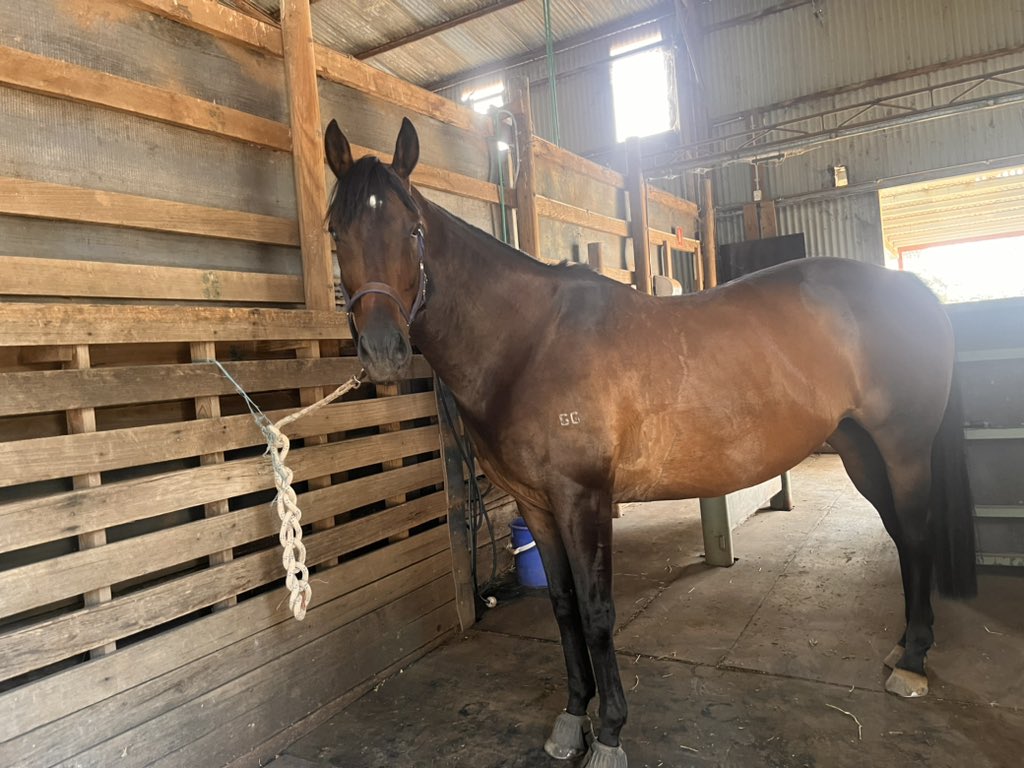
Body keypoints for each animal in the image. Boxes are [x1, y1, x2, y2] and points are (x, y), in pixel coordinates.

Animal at [323, 116, 977, 768]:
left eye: (412, 230)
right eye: (335, 231)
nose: (383, 351)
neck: (529, 341)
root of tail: (914, 291)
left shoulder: (583, 497)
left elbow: (597, 611)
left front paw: (610, 733)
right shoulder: (538, 503)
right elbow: (563, 606)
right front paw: (572, 717)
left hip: (903, 450)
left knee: (916, 534)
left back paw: (913, 661)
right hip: (861, 450)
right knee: (902, 537)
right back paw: (903, 646)